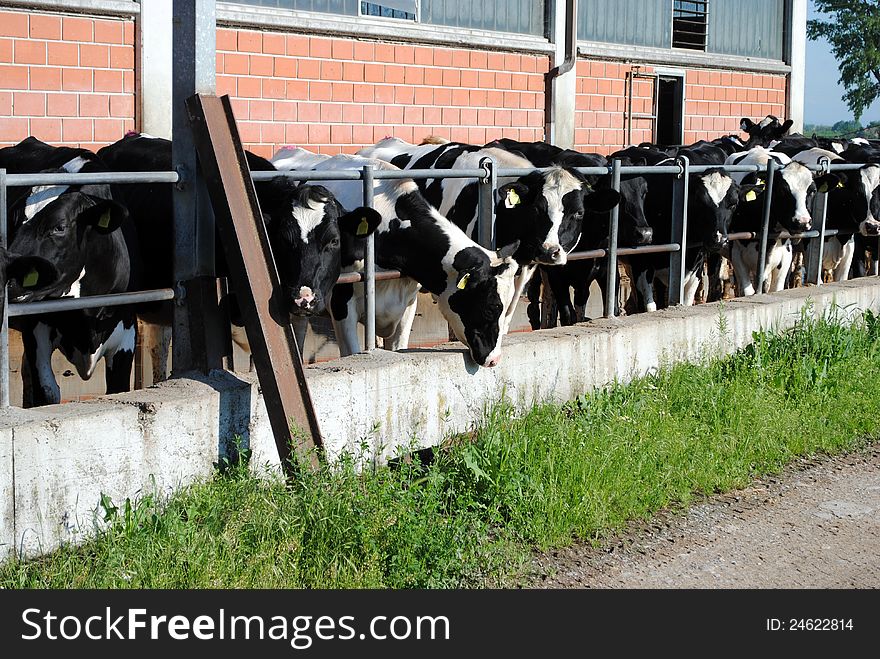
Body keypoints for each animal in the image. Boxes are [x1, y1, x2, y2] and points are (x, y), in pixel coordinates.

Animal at [0, 137, 138, 408]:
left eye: (59, 227)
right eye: (13, 220)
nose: (12, 276)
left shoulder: (127, 331)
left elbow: (119, 391)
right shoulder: (36, 332)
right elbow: (48, 392)